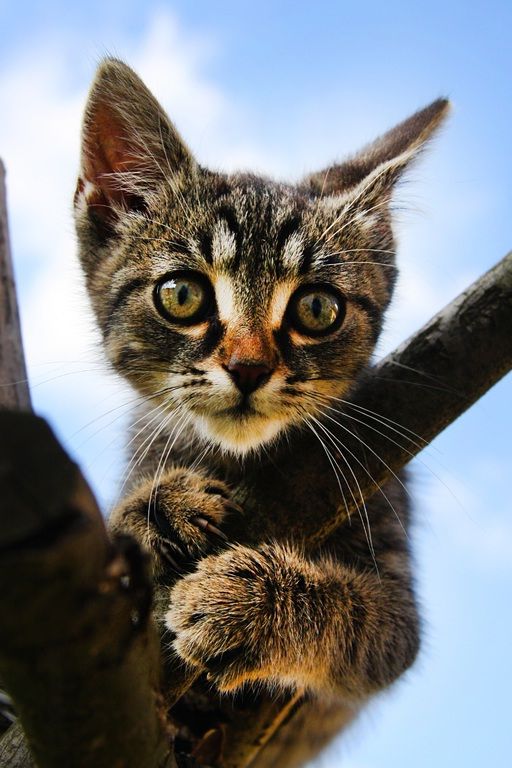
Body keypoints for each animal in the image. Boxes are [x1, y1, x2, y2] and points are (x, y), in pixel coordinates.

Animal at [72, 60, 448, 768]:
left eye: (317, 308)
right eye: (182, 295)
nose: (248, 368)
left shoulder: (393, 574)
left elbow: (362, 621)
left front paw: (243, 603)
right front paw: (156, 509)